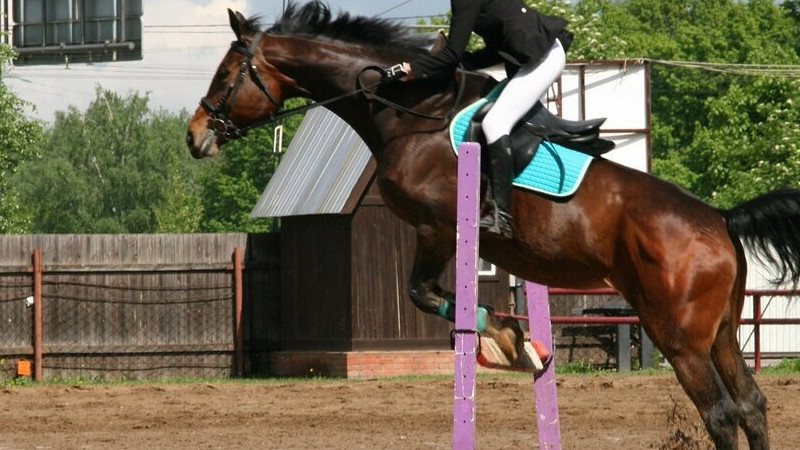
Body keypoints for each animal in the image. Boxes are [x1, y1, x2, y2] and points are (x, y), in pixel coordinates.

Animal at [188, 1, 800, 448]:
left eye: (226, 74)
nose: (195, 136)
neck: (405, 111)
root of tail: (719, 219)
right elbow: (433, 295)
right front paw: (519, 342)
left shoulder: (437, 227)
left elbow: (422, 292)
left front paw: (506, 338)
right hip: (721, 333)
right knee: (751, 405)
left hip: (679, 336)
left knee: (720, 412)